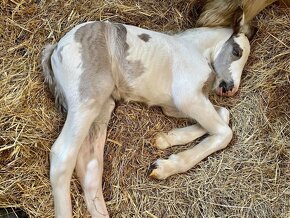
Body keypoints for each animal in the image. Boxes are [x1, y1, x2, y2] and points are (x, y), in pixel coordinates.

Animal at [42, 6, 253, 218]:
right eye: (237, 51)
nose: (230, 88)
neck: (195, 49)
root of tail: (55, 48)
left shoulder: (173, 106)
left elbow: (224, 113)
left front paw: (165, 139)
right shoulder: (188, 97)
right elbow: (224, 133)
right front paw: (165, 167)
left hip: (102, 108)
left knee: (90, 166)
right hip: (87, 99)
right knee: (62, 156)